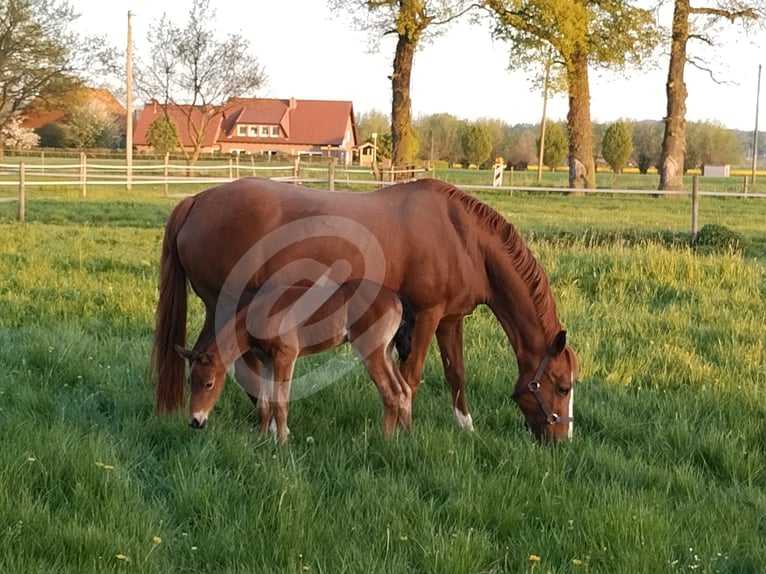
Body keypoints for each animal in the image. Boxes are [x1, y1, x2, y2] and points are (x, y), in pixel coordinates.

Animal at [176, 280, 414, 446]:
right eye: (188, 381)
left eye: (208, 383)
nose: (194, 421)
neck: (258, 313)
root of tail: (397, 298)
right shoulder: (266, 361)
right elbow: (264, 404)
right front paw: (261, 440)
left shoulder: (285, 357)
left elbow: (280, 404)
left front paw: (281, 445)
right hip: (386, 352)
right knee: (404, 390)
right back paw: (406, 436)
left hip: (371, 352)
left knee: (391, 393)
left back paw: (385, 440)